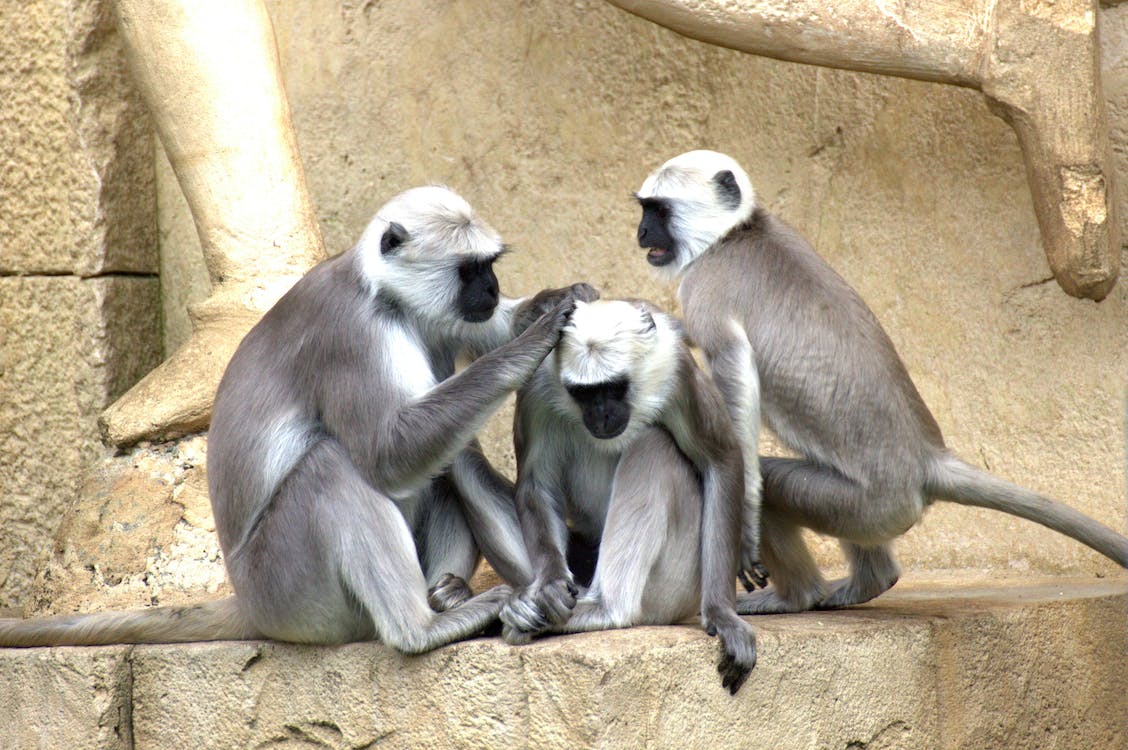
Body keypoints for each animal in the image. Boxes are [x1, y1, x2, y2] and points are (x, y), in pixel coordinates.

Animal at [0, 185, 589, 652]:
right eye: (470, 270)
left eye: (489, 268)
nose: (490, 289)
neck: (383, 294)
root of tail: (248, 600)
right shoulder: (350, 333)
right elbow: (388, 455)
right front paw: (537, 339)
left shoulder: (439, 318)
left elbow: (487, 332)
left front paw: (557, 300)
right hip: (290, 589)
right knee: (336, 464)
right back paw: (424, 628)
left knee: (450, 456)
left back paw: (466, 596)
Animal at [499, 298, 756, 694]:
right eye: (585, 393)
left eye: (615, 388)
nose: (602, 415)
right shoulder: (538, 384)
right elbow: (535, 484)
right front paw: (549, 584)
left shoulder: (675, 368)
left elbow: (722, 459)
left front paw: (722, 614)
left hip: (677, 583)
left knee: (654, 443)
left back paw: (605, 609)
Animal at [634, 150, 1128, 614]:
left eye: (657, 211)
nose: (640, 233)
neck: (738, 232)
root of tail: (926, 460)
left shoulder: (706, 286)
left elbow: (734, 378)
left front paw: (744, 529)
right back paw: (869, 582)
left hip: (869, 505)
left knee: (772, 482)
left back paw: (797, 596)